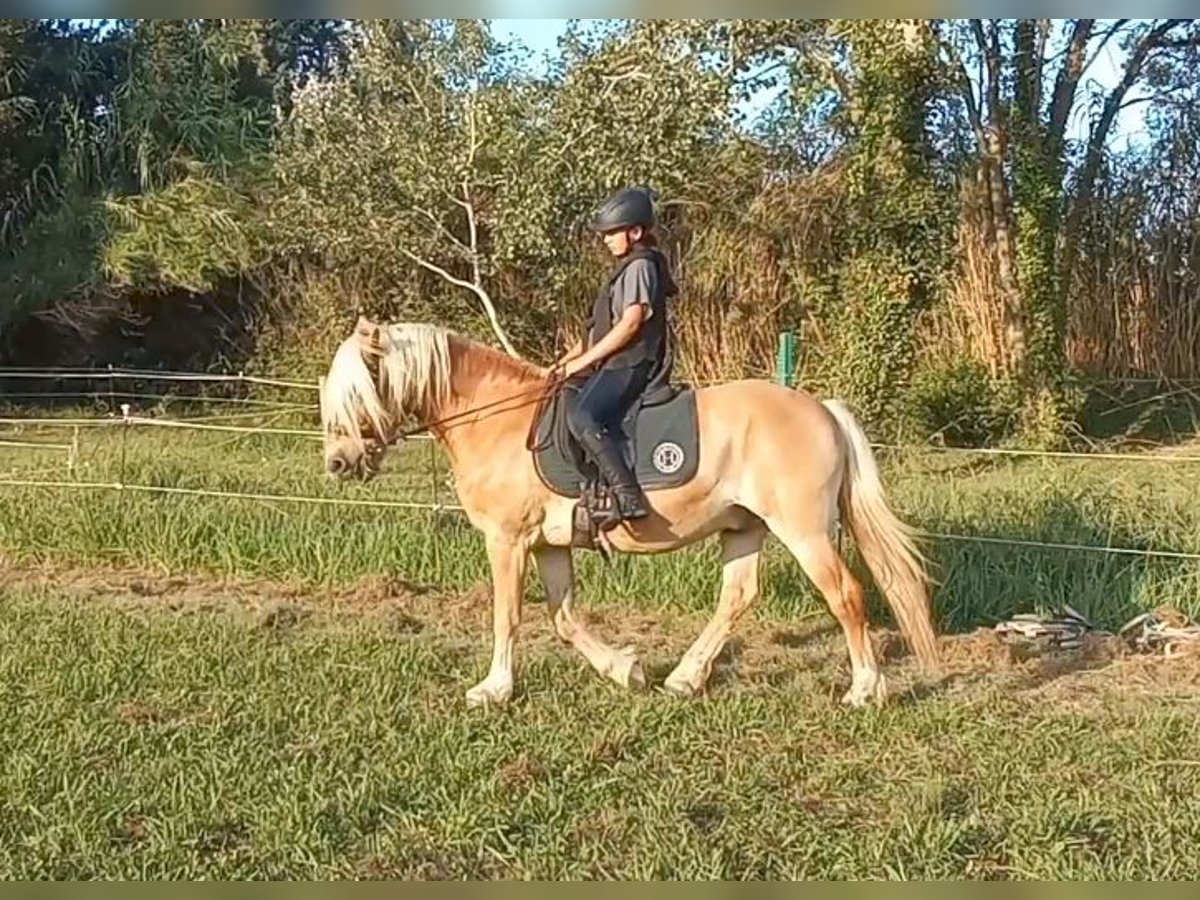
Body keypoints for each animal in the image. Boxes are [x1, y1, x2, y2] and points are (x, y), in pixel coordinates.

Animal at [324, 316, 940, 710]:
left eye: (358, 393)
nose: (337, 462)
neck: (494, 419)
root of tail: (823, 409)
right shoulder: (548, 544)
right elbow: (564, 619)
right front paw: (626, 669)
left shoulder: (507, 539)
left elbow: (508, 616)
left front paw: (493, 690)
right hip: (746, 527)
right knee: (738, 596)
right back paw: (685, 679)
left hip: (804, 530)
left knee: (846, 595)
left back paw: (864, 691)